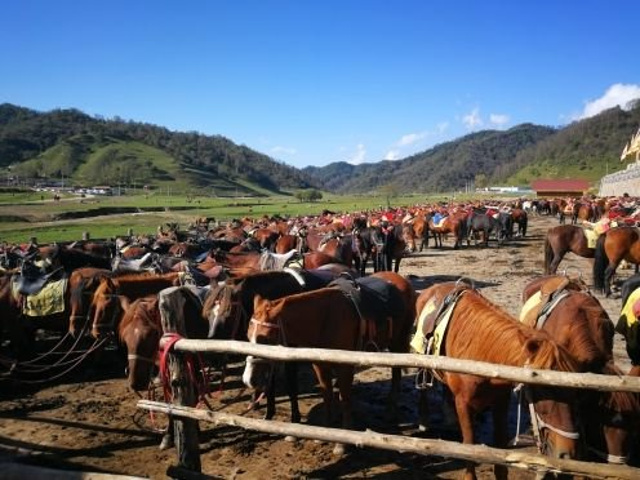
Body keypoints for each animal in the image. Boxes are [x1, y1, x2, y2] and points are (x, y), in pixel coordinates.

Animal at [242, 272, 418, 452]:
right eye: (248, 336)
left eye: (267, 339)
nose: (249, 379)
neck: (325, 320)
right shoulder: (319, 365)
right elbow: (327, 395)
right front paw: (324, 433)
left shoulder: (344, 368)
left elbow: (345, 399)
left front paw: (342, 442)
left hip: (397, 343)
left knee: (396, 373)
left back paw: (390, 410)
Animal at [418, 282, 584, 480]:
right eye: (541, 390)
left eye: (573, 392)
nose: (566, 454)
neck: (483, 354)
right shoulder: (463, 403)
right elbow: (469, 445)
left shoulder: (501, 402)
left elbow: (500, 447)